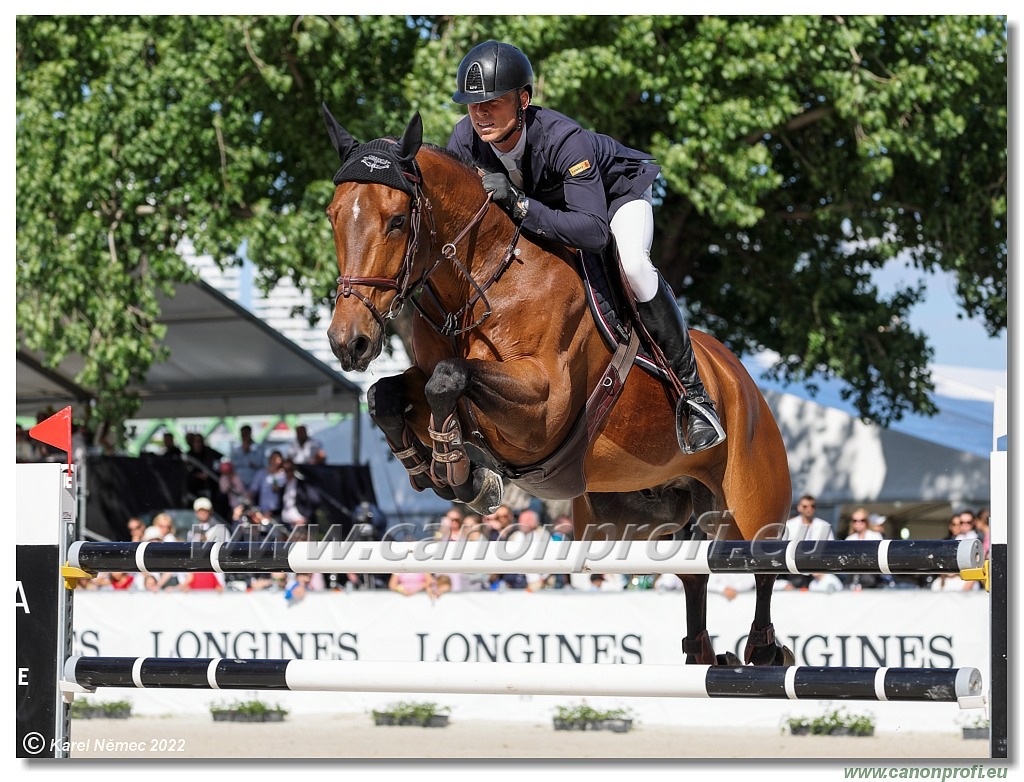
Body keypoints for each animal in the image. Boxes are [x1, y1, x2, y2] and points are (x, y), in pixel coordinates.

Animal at [323, 105, 794, 667]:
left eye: (397, 221)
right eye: (332, 215)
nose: (348, 341)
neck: (486, 276)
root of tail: (740, 380)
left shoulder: (542, 408)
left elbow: (450, 379)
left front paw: (460, 471)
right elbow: (389, 394)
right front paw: (441, 471)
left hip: (746, 507)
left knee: (762, 570)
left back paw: (763, 648)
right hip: (633, 521)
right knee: (693, 575)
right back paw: (704, 652)